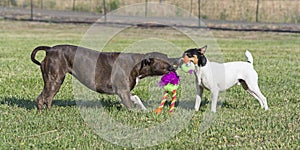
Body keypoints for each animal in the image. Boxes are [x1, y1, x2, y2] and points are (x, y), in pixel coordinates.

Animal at [31, 44, 179, 111]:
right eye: (166, 60)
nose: (177, 60)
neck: (138, 64)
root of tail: (50, 49)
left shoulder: (125, 92)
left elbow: (136, 97)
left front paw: (144, 109)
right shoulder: (123, 92)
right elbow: (130, 106)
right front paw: (137, 113)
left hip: (55, 81)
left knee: (48, 98)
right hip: (54, 80)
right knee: (41, 98)